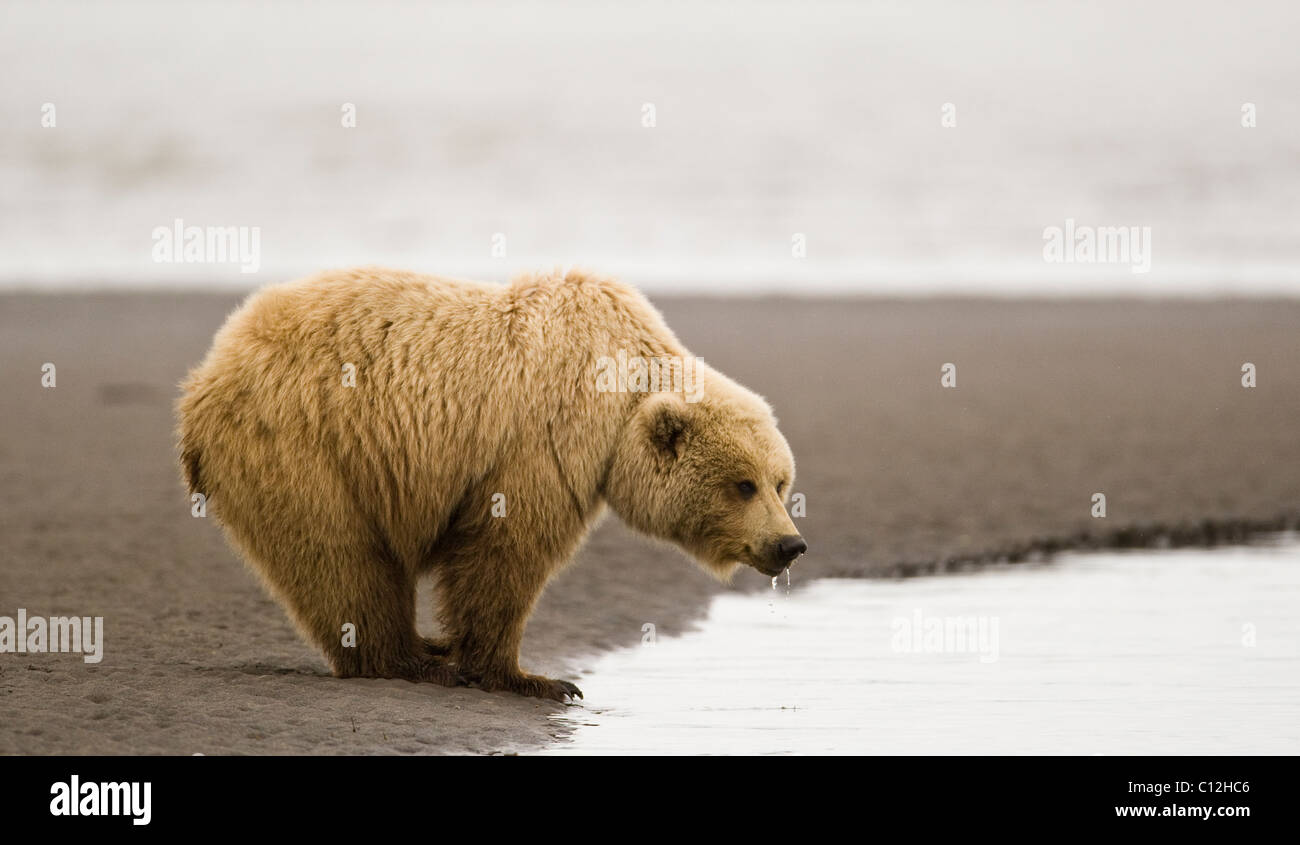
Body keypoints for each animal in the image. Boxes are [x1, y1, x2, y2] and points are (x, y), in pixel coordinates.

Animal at [172, 266, 800, 702]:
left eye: (781, 481)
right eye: (743, 485)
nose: (790, 544)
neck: (619, 390)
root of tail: (206, 375)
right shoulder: (540, 443)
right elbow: (505, 552)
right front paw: (534, 678)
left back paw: (426, 645)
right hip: (306, 446)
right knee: (340, 557)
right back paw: (411, 661)